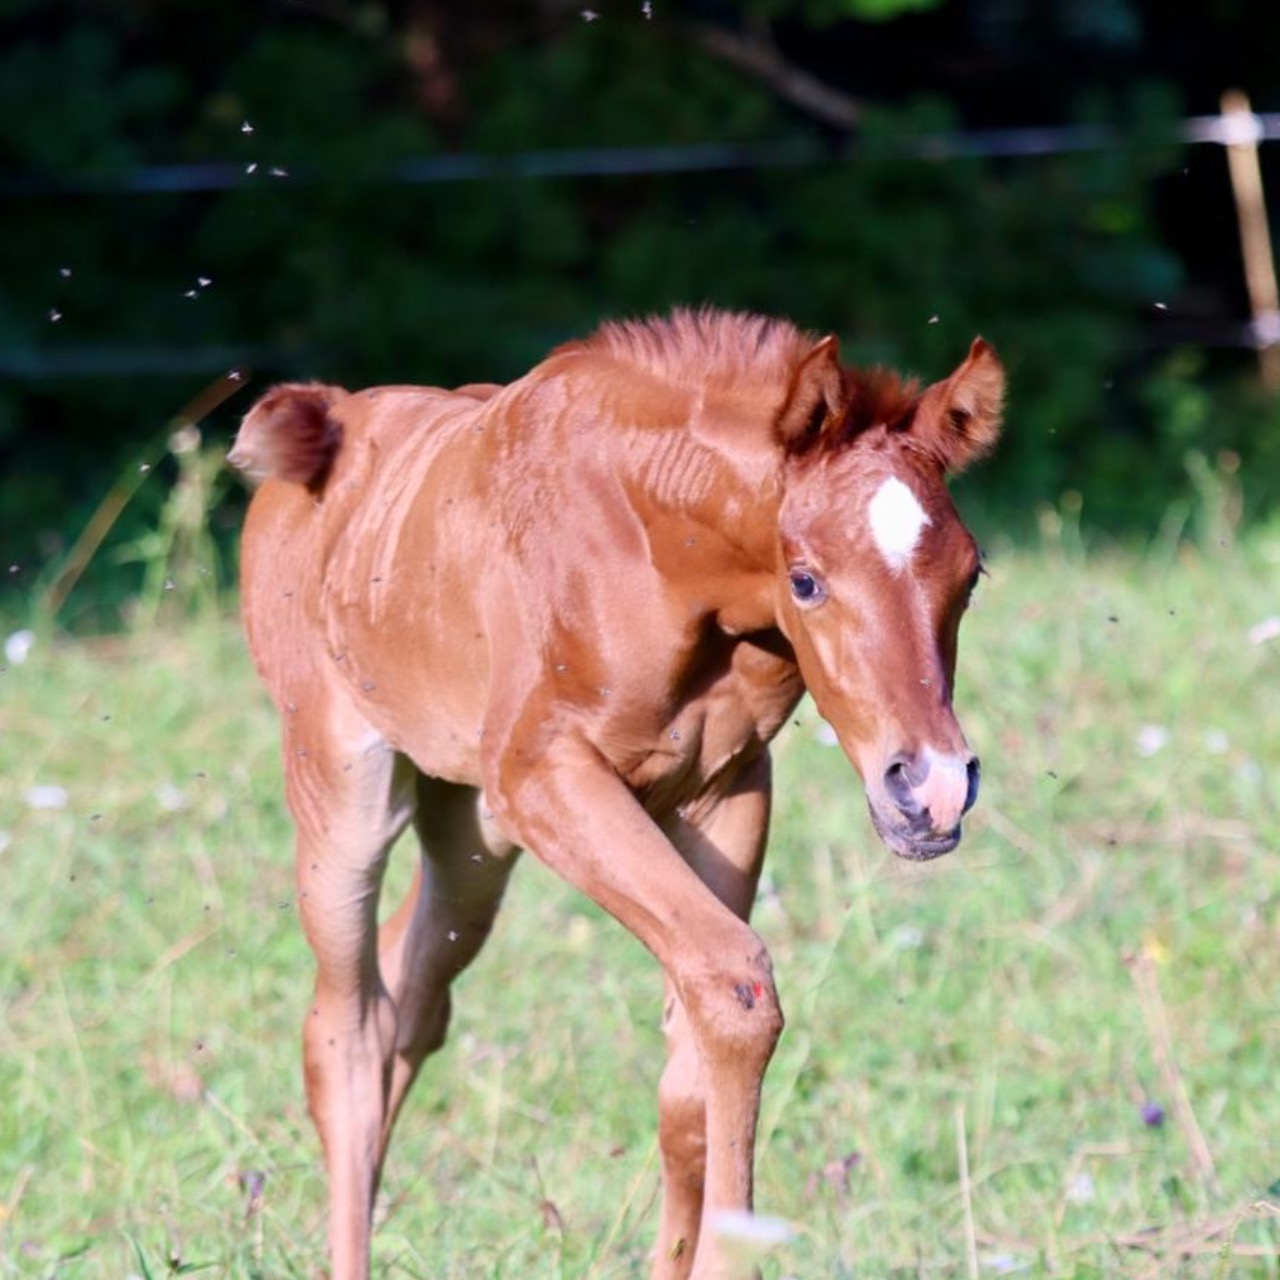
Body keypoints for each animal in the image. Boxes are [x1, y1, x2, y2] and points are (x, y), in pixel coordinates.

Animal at [235, 309, 1003, 1280]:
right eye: (806, 578)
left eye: (971, 576)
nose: (932, 789)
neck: (656, 543)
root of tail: (331, 418)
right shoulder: (545, 776)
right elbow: (736, 986)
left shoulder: (727, 790)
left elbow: (690, 1065)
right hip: (344, 791)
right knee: (347, 1029)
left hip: (472, 829)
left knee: (412, 1002)